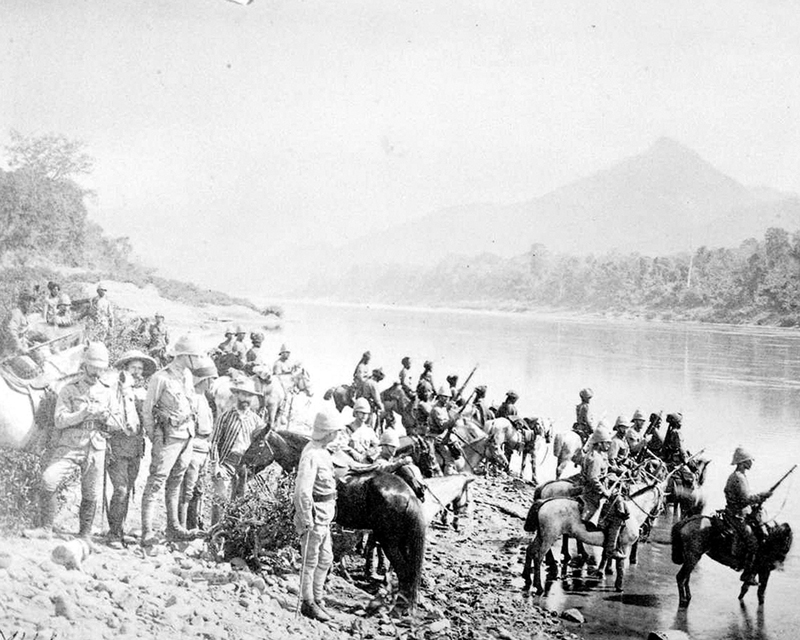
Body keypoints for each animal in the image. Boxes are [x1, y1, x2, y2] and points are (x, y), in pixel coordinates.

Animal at [520, 480, 664, 596]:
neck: (632, 514)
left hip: (541, 535)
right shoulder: (624, 546)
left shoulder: (612, 545)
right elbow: (620, 566)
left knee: (530, 550)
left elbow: (606, 556)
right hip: (549, 537)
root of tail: (544, 502)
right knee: (538, 557)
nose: (659, 512)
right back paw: (539, 587)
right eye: (662, 498)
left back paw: (527, 576)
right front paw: (619, 586)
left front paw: (602, 573)